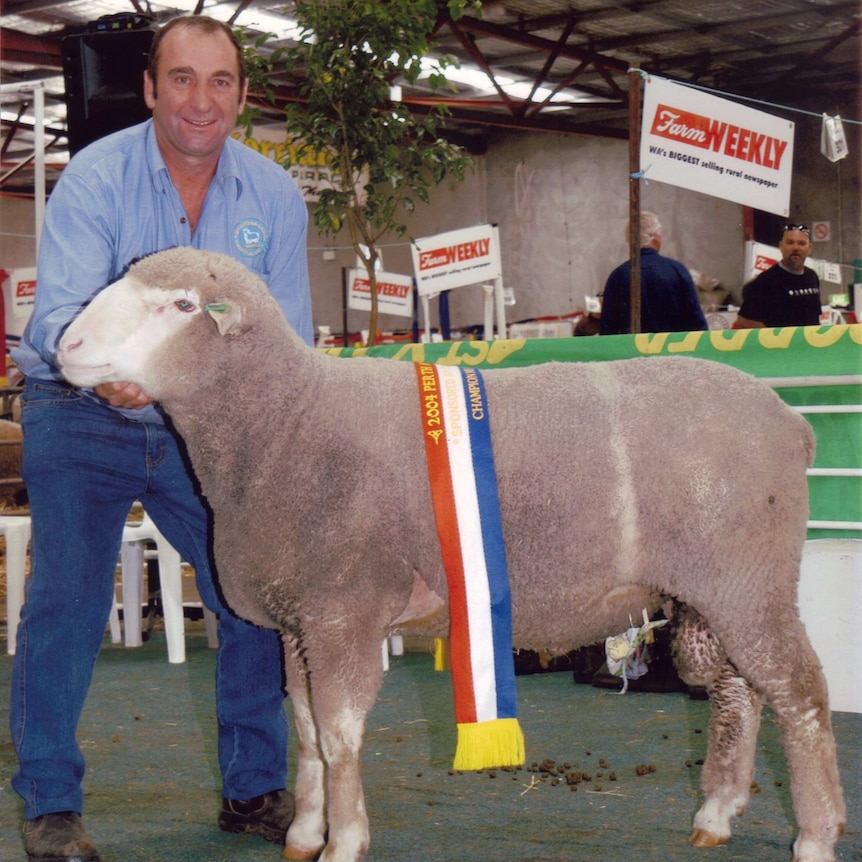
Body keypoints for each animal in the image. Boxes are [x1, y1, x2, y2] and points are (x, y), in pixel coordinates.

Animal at [57, 248, 848, 862]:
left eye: (182, 304)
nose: (65, 347)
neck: (284, 423)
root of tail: (790, 421)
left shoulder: (342, 611)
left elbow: (339, 735)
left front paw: (345, 840)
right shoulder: (297, 620)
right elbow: (306, 730)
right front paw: (305, 832)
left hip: (748, 578)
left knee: (800, 691)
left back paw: (815, 834)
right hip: (714, 588)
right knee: (738, 689)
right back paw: (717, 812)